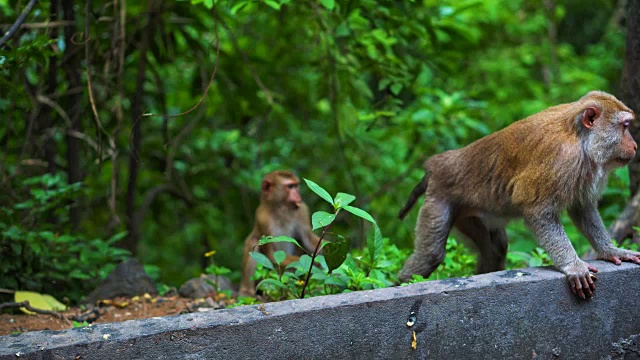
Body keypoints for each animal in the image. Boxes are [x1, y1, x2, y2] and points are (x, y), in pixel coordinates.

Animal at [398, 91, 640, 300]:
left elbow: (582, 209)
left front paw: (610, 250)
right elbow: (539, 213)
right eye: (625, 126)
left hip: (467, 215)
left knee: (495, 249)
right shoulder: (560, 160)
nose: (635, 145)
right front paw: (573, 265)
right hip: (438, 199)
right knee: (430, 255)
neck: (579, 137)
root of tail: (437, 164)